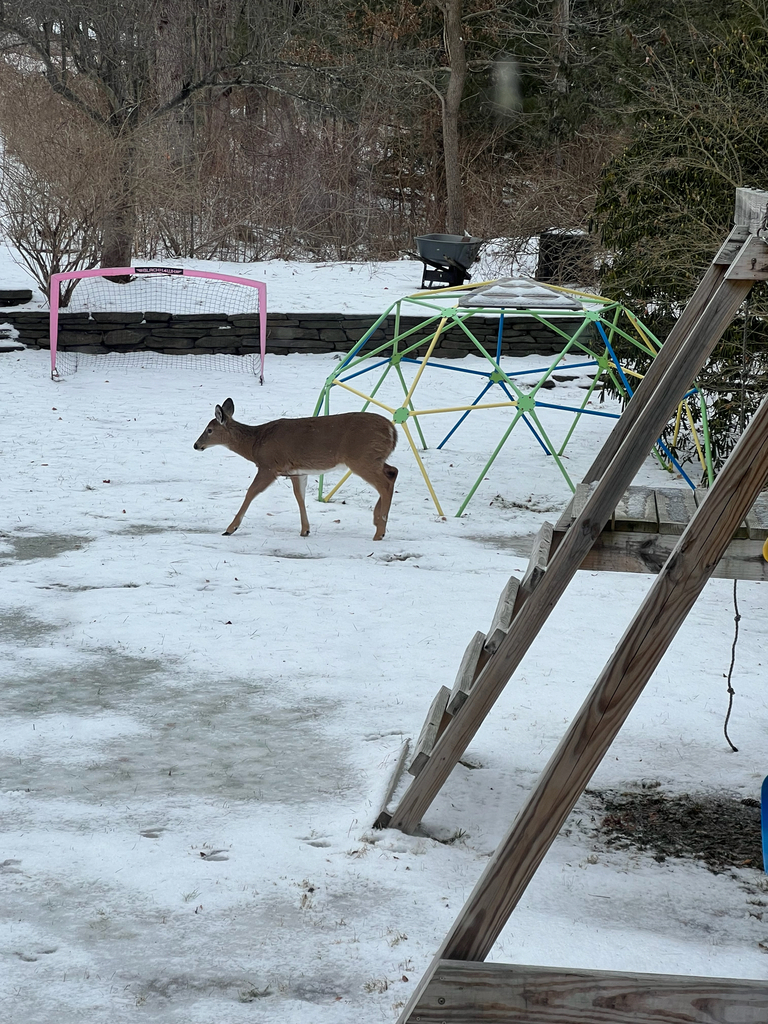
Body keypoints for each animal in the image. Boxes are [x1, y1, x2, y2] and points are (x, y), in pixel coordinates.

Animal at [194, 398, 398, 540]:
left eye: (209, 430)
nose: (196, 445)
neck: (255, 443)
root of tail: (392, 430)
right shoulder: (296, 471)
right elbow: (299, 496)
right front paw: (305, 530)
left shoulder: (269, 466)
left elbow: (251, 492)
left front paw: (230, 528)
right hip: (373, 458)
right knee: (392, 472)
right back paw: (377, 520)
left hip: (361, 458)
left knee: (385, 483)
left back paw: (379, 532)